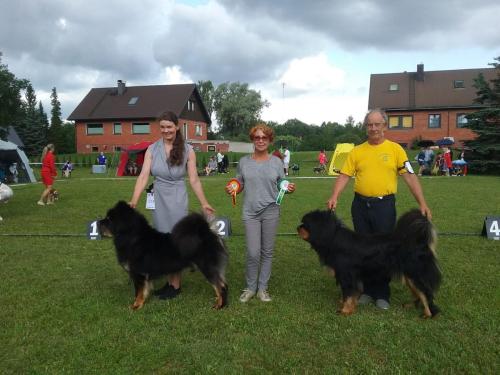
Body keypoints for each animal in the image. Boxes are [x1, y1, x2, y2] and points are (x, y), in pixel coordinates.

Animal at [97, 203, 229, 312]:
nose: (97, 223)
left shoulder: (138, 274)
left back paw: (220, 305)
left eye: (109, 219)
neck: (133, 238)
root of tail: (207, 233)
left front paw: (136, 306)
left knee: (221, 286)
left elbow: (139, 292)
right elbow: (143, 290)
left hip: (207, 267)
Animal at [296, 210, 442, 318]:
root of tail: (421, 242)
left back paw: (428, 314)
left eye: (305, 224)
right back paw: (412, 306)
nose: (297, 227)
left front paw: (345, 310)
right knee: (420, 293)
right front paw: (347, 306)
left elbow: (348, 293)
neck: (332, 238)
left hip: (414, 274)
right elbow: (349, 294)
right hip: (409, 277)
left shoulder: (348, 276)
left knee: (425, 293)